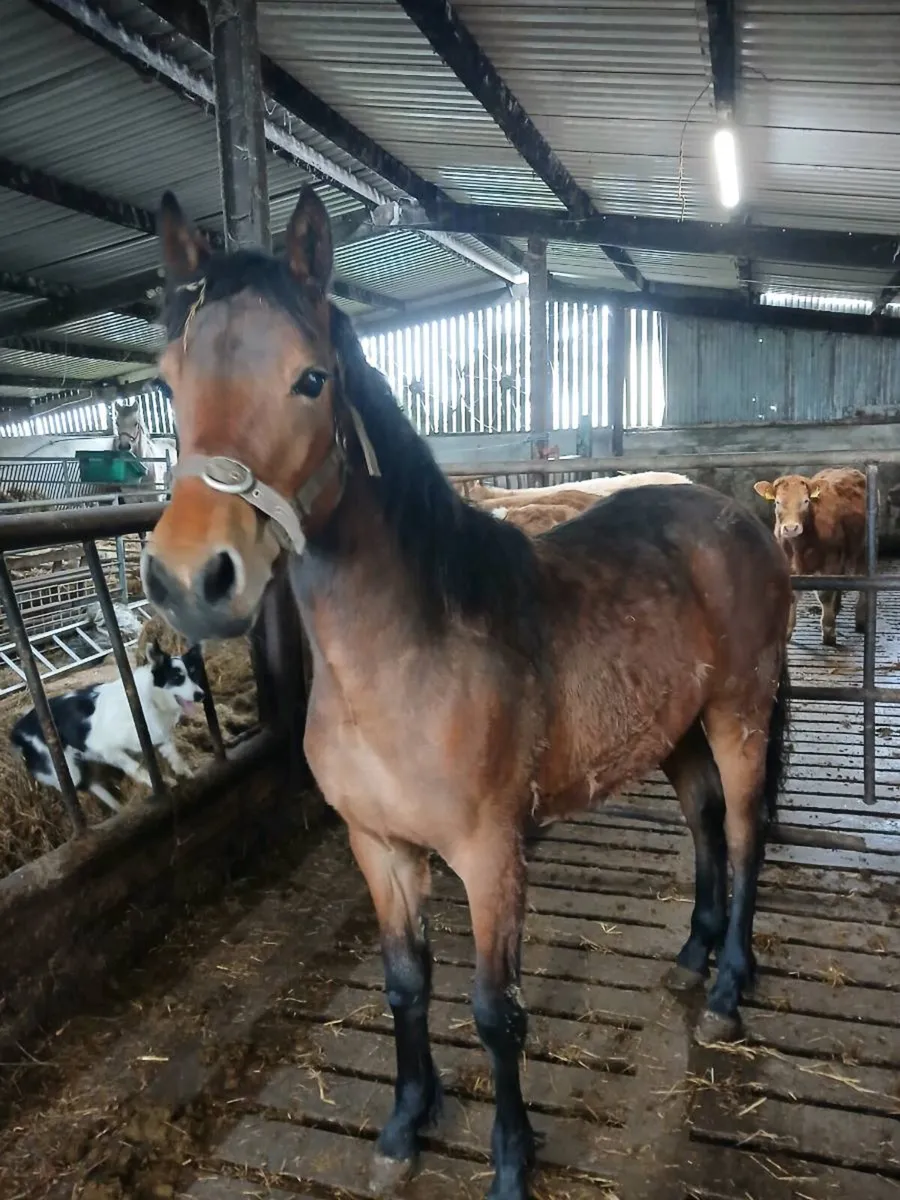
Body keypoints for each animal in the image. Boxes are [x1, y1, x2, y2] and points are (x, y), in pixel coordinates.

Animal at [141, 187, 793, 1200]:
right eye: (169, 377)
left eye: (310, 379)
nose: (189, 580)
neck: (405, 659)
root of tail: (737, 516)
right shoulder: (379, 847)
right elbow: (406, 983)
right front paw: (405, 1123)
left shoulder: (490, 856)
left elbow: (496, 1011)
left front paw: (511, 1161)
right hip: (675, 730)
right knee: (703, 823)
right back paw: (693, 957)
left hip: (738, 714)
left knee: (745, 832)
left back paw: (728, 988)